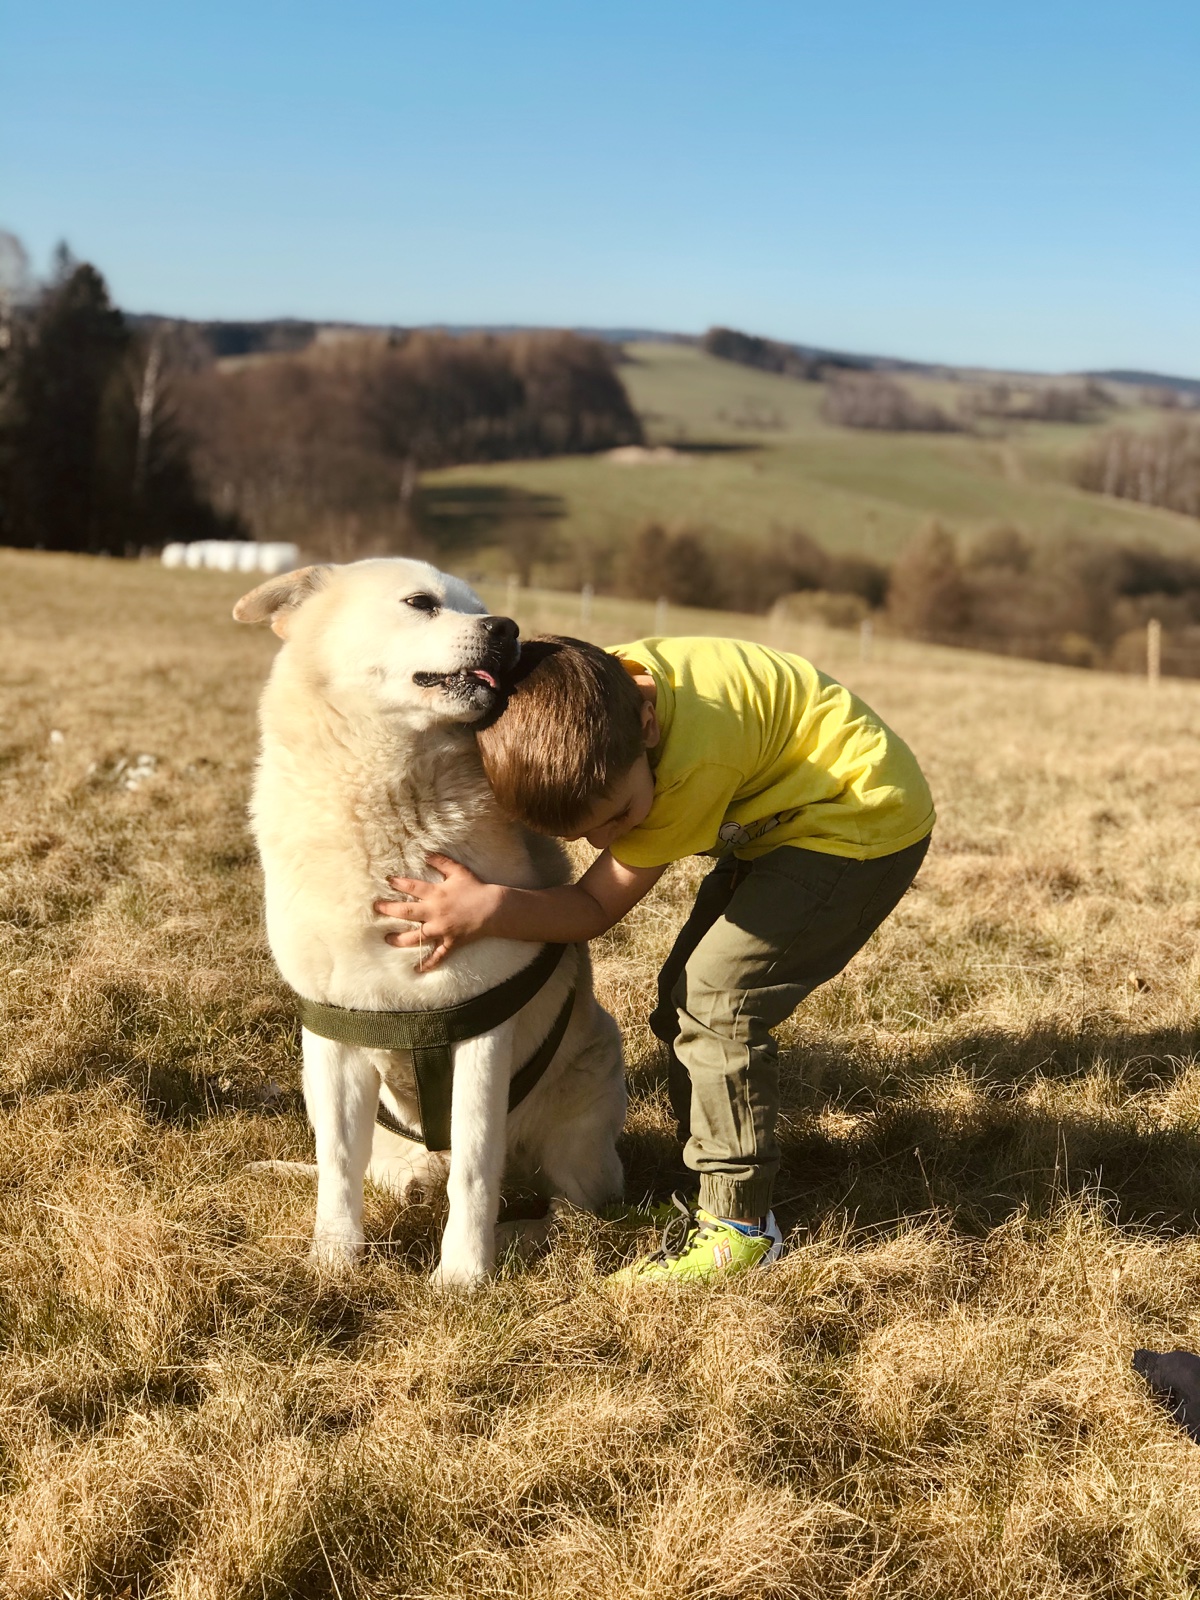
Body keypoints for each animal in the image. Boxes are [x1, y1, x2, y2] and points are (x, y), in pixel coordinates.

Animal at [234, 558, 625, 1286]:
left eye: (481, 604)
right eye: (420, 603)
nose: (508, 630)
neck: (387, 802)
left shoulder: (479, 1028)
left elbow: (473, 1167)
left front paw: (463, 1275)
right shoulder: (331, 1034)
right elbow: (338, 1166)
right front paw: (333, 1260)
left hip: (583, 1113)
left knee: (569, 1208)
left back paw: (522, 1234)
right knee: (385, 1169)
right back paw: (411, 1185)